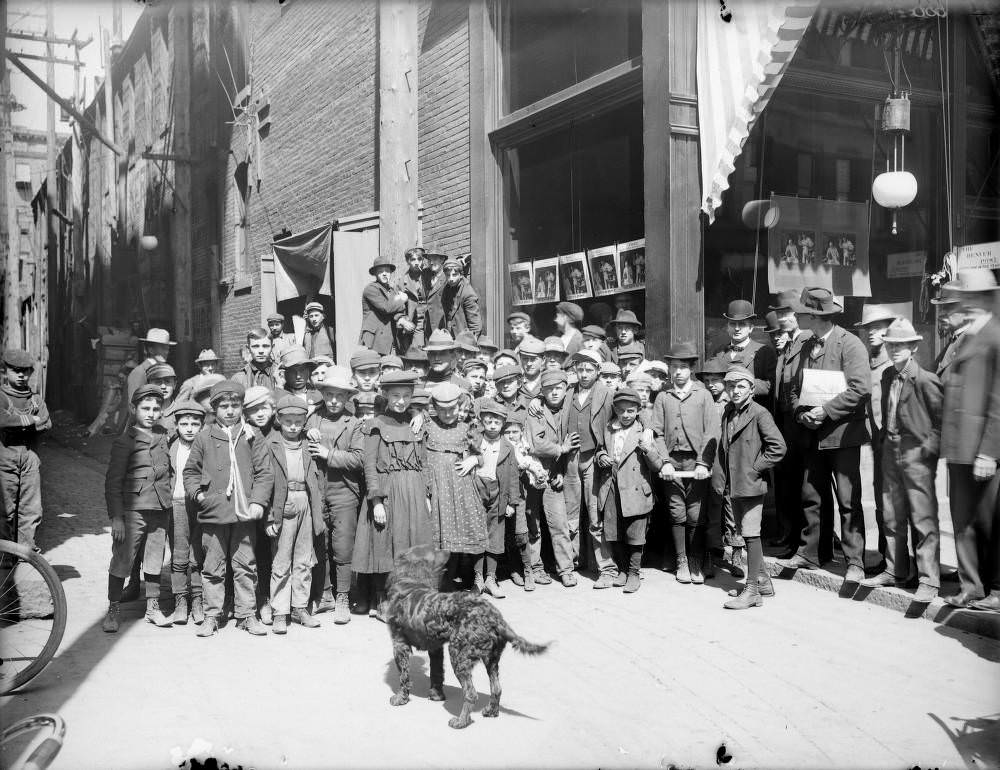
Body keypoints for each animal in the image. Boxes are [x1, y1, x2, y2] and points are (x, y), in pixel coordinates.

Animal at [386, 540, 552, 728]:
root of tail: (495, 618)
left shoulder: (399, 644)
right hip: (491, 658)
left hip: (459, 655)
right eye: (435, 550)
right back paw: (491, 711)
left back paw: (460, 721)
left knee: (471, 693)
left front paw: (400, 698)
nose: (450, 550)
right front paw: (436, 695)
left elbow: (403, 676)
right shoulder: (435, 647)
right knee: (496, 688)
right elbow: (436, 672)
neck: (410, 582)